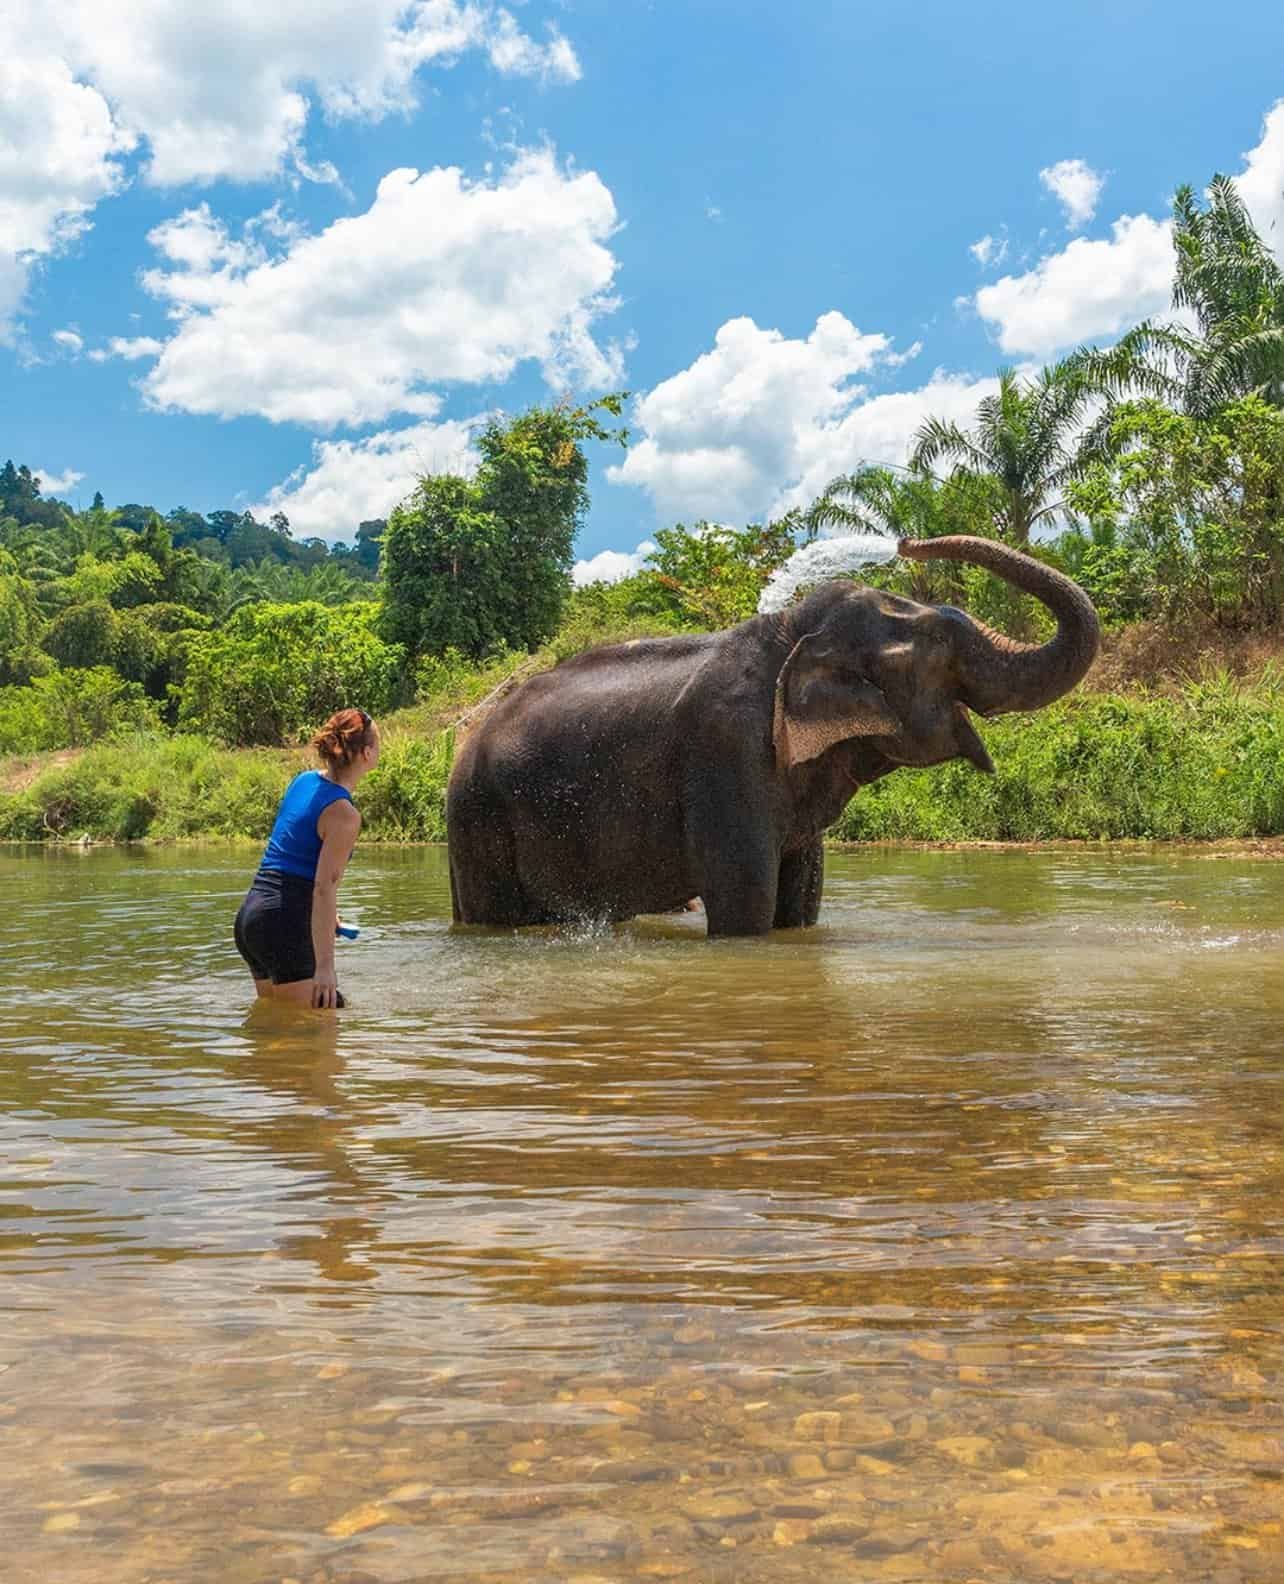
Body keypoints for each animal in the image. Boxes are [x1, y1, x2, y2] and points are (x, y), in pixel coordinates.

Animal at [446, 535, 1099, 937]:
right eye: (937, 643)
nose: (907, 541)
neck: (790, 631)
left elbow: (800, 903)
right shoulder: (727, 753)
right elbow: (746, 906)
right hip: (478, 819)